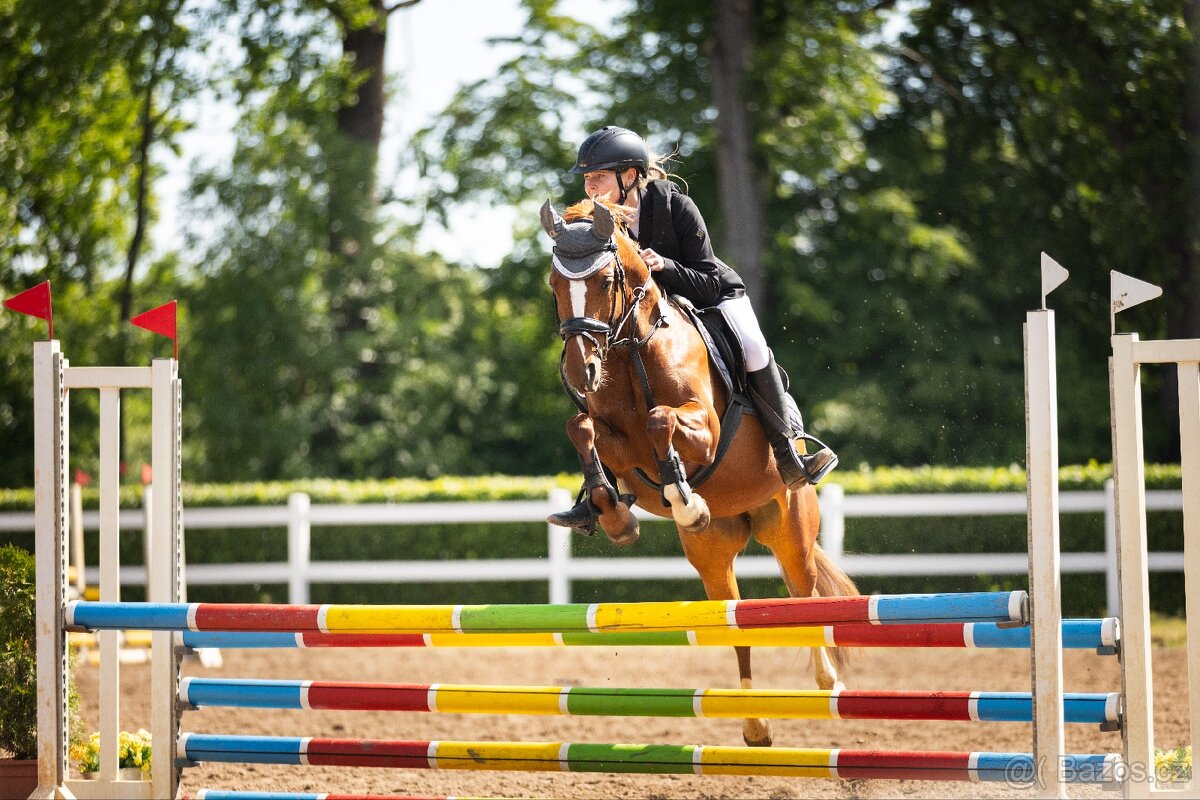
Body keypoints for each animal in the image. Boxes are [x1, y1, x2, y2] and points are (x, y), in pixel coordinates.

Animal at [541, 198, 858, 748]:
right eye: (554, 284)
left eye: (605, 280)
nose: (581, 373)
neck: (632, 350)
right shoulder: (611, 436)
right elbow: (581, 427)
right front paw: (611, 513)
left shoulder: (705, 429)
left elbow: (660, 419)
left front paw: (685, 500)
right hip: (712, 558)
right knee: (735, 625)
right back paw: (754, 726)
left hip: (791, 529)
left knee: (804, 597)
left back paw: (827, 682)